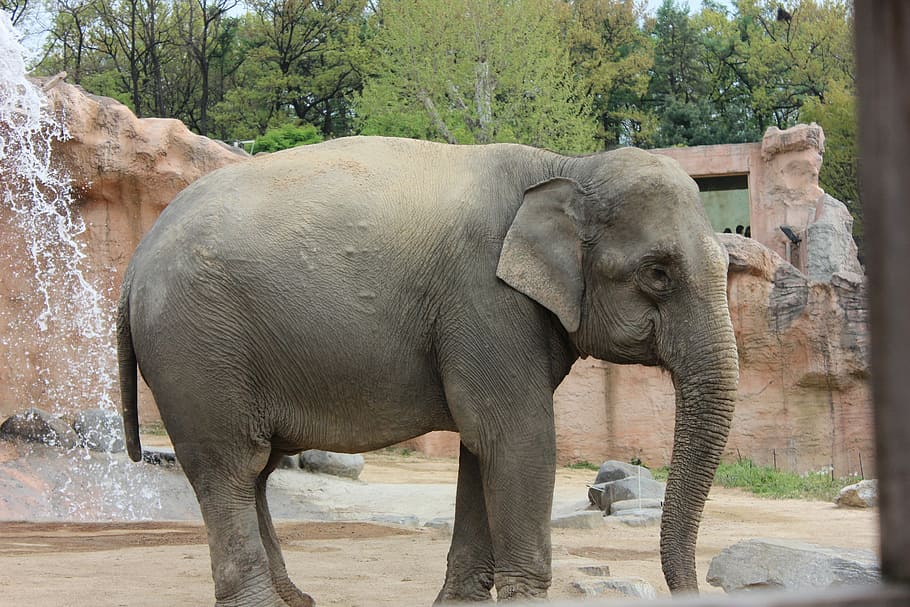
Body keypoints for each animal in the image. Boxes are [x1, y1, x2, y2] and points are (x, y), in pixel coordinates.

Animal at [117, 136, 738, 605]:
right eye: (657, 272)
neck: (566, 167)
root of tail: (135, 261)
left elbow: (482, 446)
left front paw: (459, 602)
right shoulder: (486, 301)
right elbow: (517, 437)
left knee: (258, 471)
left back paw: (297, 599)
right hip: (197, 347)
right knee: (229, 467)